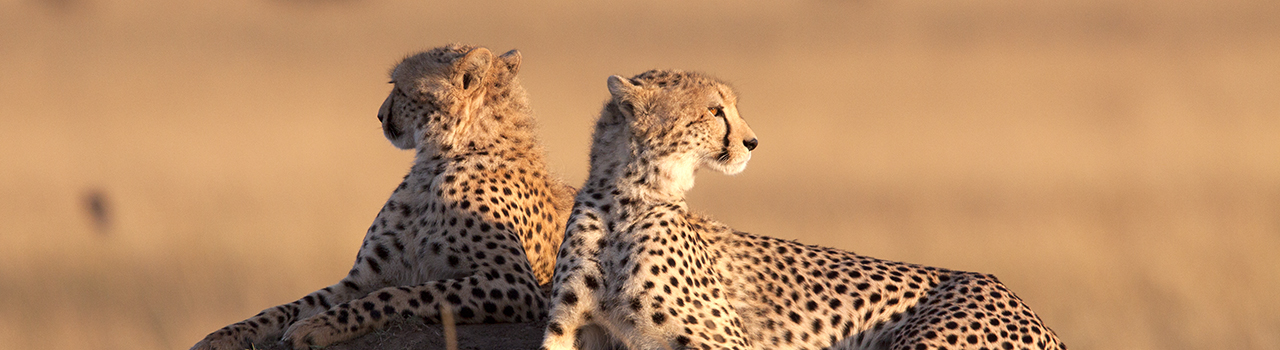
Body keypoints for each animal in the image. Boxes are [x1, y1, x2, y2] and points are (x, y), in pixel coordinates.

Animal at [186, 43, 573, 348]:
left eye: (398, 87)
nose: (379, 114)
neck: (441, 159)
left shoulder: (517, 284)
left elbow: (398, 294)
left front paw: (317, 327)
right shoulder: (362, 278)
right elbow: (294, 304)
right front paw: (225, 335)